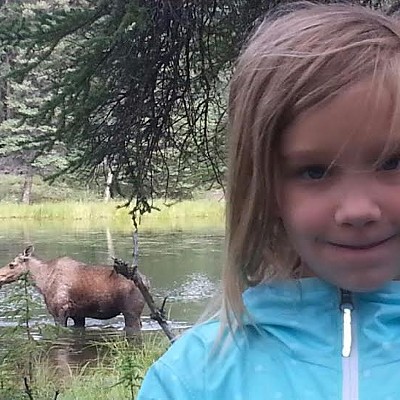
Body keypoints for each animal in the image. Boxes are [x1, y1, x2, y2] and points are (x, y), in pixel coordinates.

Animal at [0, 245, 148, 332]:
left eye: (11, 265)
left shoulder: (59, 311)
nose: (0, 276)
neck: (42, 282)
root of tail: (146, 281)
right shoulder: (78, 315)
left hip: (131, 313)